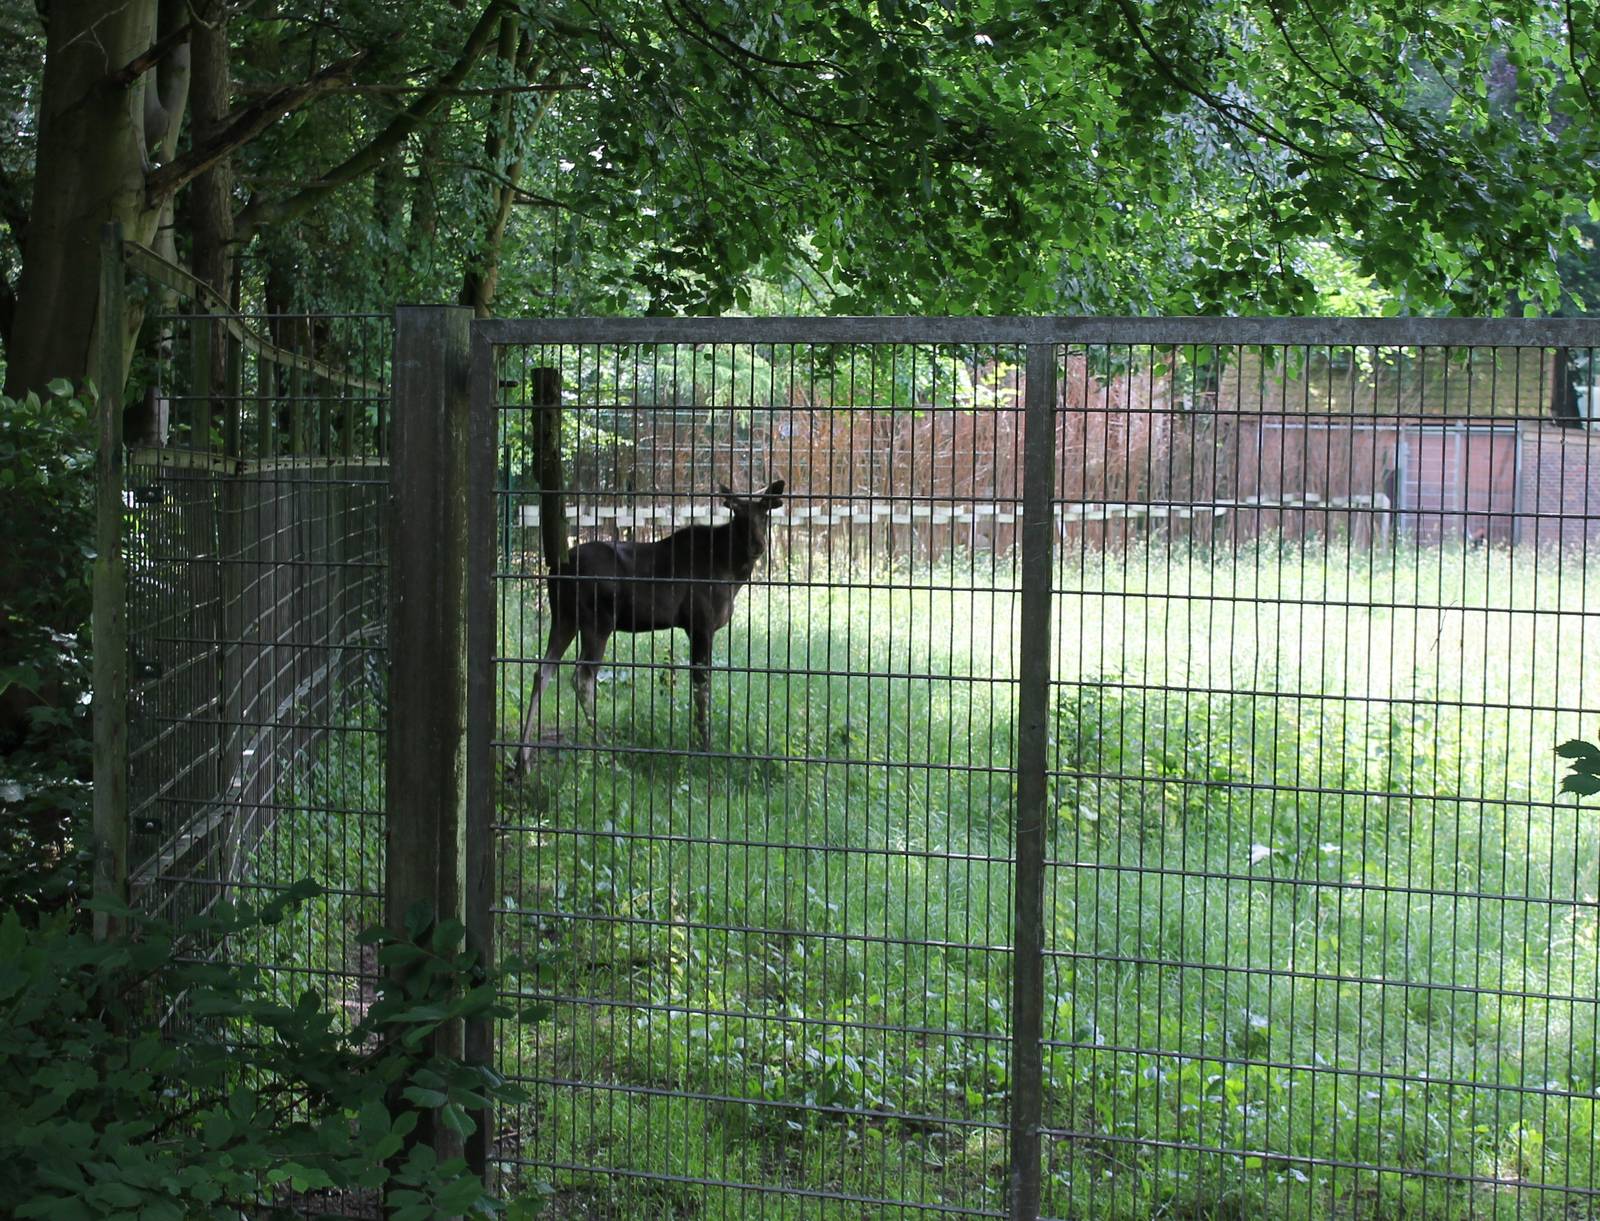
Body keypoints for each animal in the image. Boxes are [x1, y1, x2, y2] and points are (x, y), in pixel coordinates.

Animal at [512, 479, 785, 775]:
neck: (732, 573)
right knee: (582, 676)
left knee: (542, 672)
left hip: (564, 619)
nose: (758, 545)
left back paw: (523, 757)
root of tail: (554, 572)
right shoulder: (701, 623)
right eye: (739, 514)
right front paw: (703, 745)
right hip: (597, 621)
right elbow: (702, 686)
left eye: (765, 514)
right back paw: (605, 749)